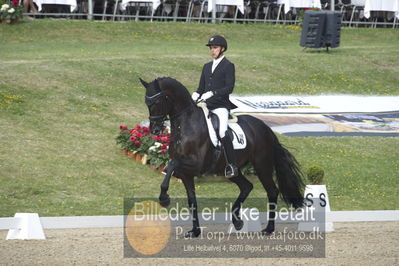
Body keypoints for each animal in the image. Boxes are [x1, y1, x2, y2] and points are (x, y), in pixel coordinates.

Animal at [140, 76, 304, 237]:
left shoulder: (196, 164)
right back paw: (237, 222)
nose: (155, 130)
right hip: (232, 171)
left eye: (157, 101)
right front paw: (195, 231)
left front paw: (164, 198)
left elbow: (172, 164)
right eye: (147, 103)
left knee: (272, 191)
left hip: (262, 166)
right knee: (247, 186)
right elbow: (192, 201)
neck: (185, 126)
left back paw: (268, 229)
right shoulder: (186, 174)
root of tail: (266, 128)